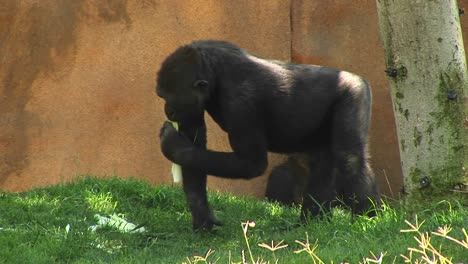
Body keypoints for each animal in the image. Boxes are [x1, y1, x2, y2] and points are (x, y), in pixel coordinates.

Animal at [157, 39, 380, 231]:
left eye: (170, 98)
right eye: (161, 96)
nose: (168, 111)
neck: (215, 73)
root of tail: (355, 76)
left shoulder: (242, 104)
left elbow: (251, 163)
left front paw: (172, 146)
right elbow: (194, 142)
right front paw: (201, 216)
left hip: (353, 92)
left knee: (350, 158)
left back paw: (368, 222)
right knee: (322, 161)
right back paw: (313, 223)